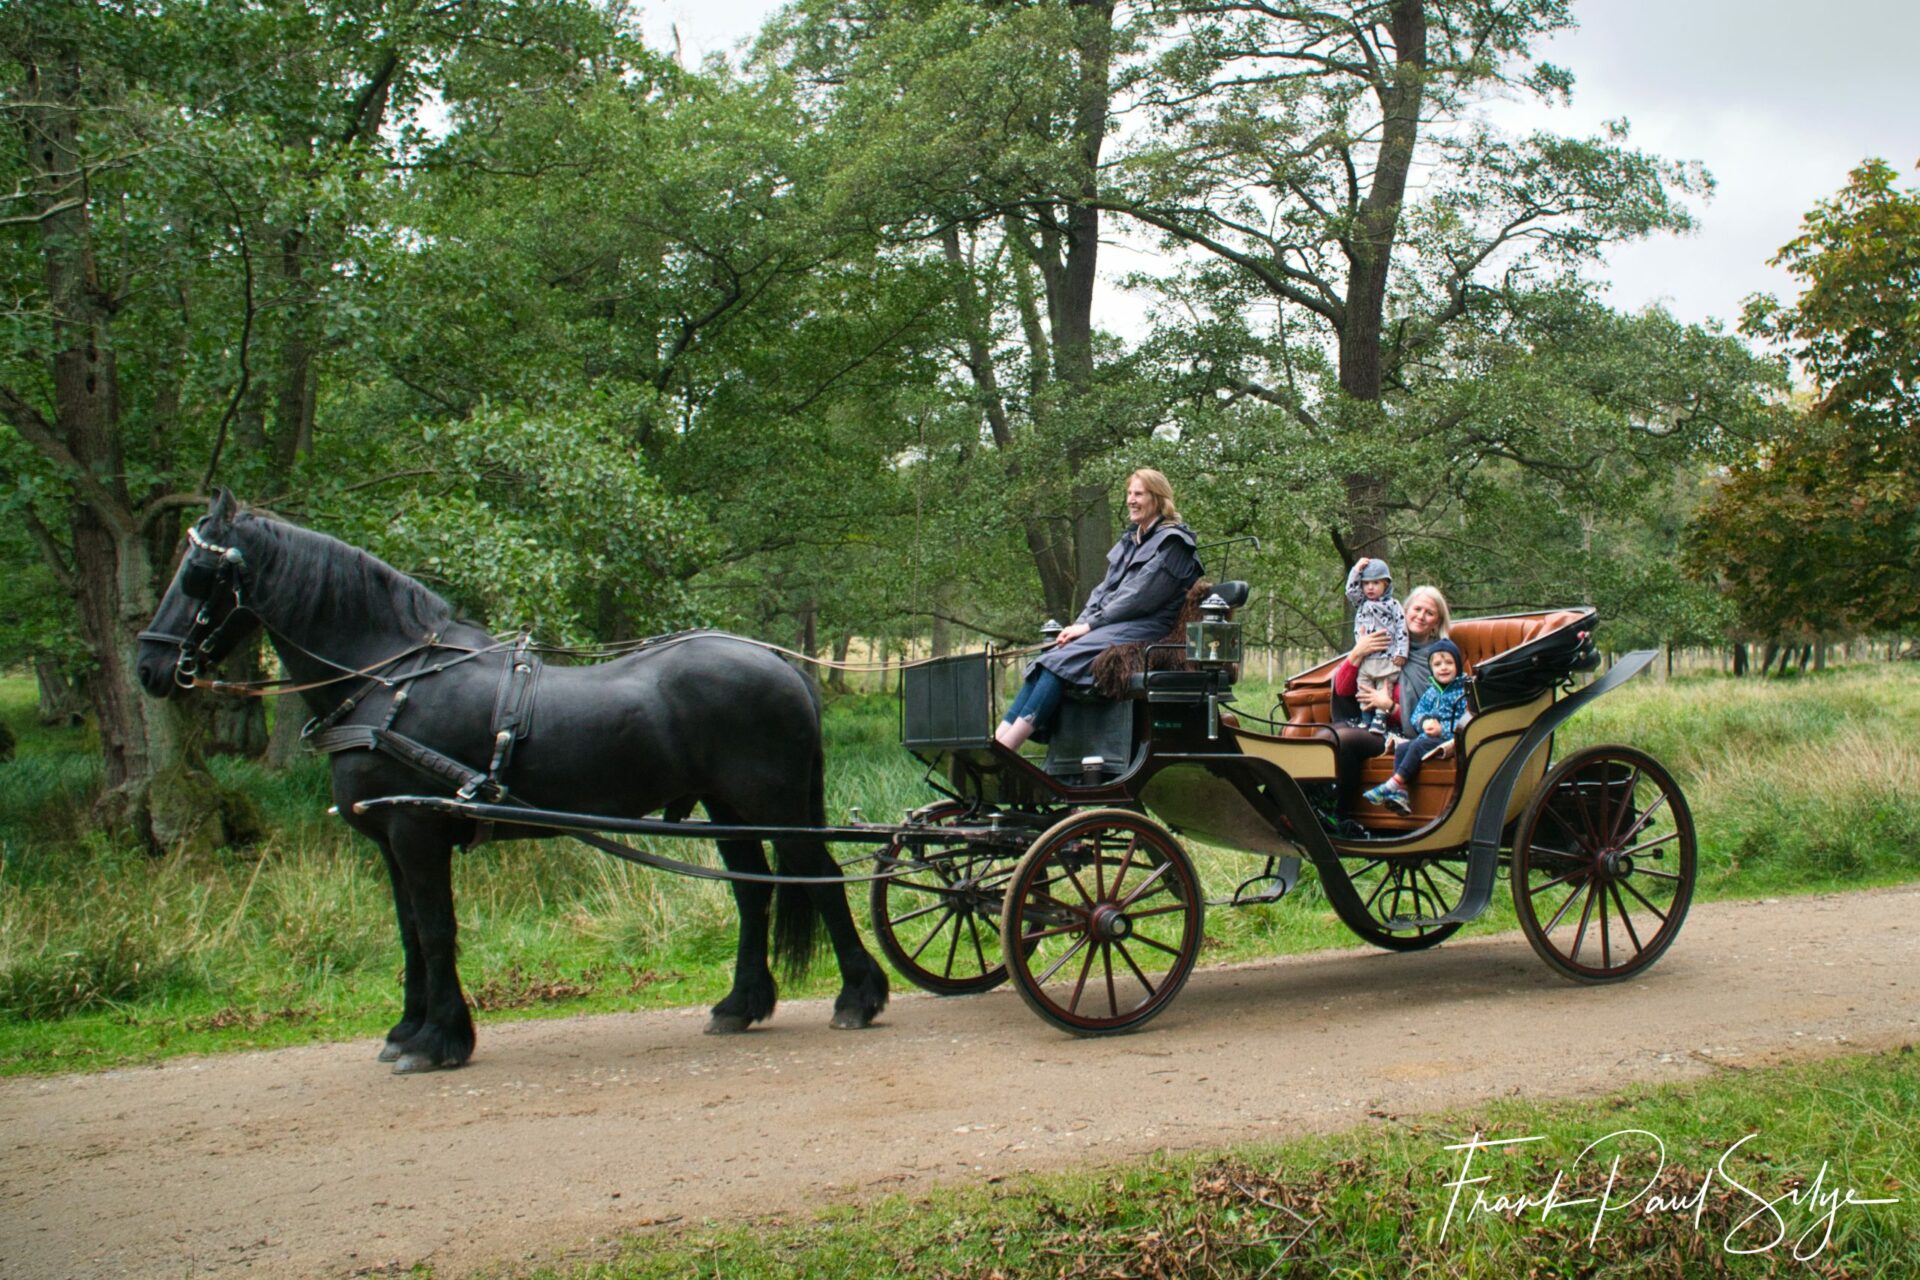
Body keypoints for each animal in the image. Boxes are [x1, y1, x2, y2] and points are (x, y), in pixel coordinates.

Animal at [136, 491, 888, 1073]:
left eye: (198, 574)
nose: (149, 665)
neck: (391, 681)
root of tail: (778, 661)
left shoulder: (418, 829)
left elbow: (436, 929)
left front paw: (438, 1040)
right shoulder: (391, 838)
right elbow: (408, 933)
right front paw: (407, 1030)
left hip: (772, 802)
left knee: (818, 877)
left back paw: (858, 996)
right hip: (728, 807)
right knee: (754, 893)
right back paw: (741, 1003)